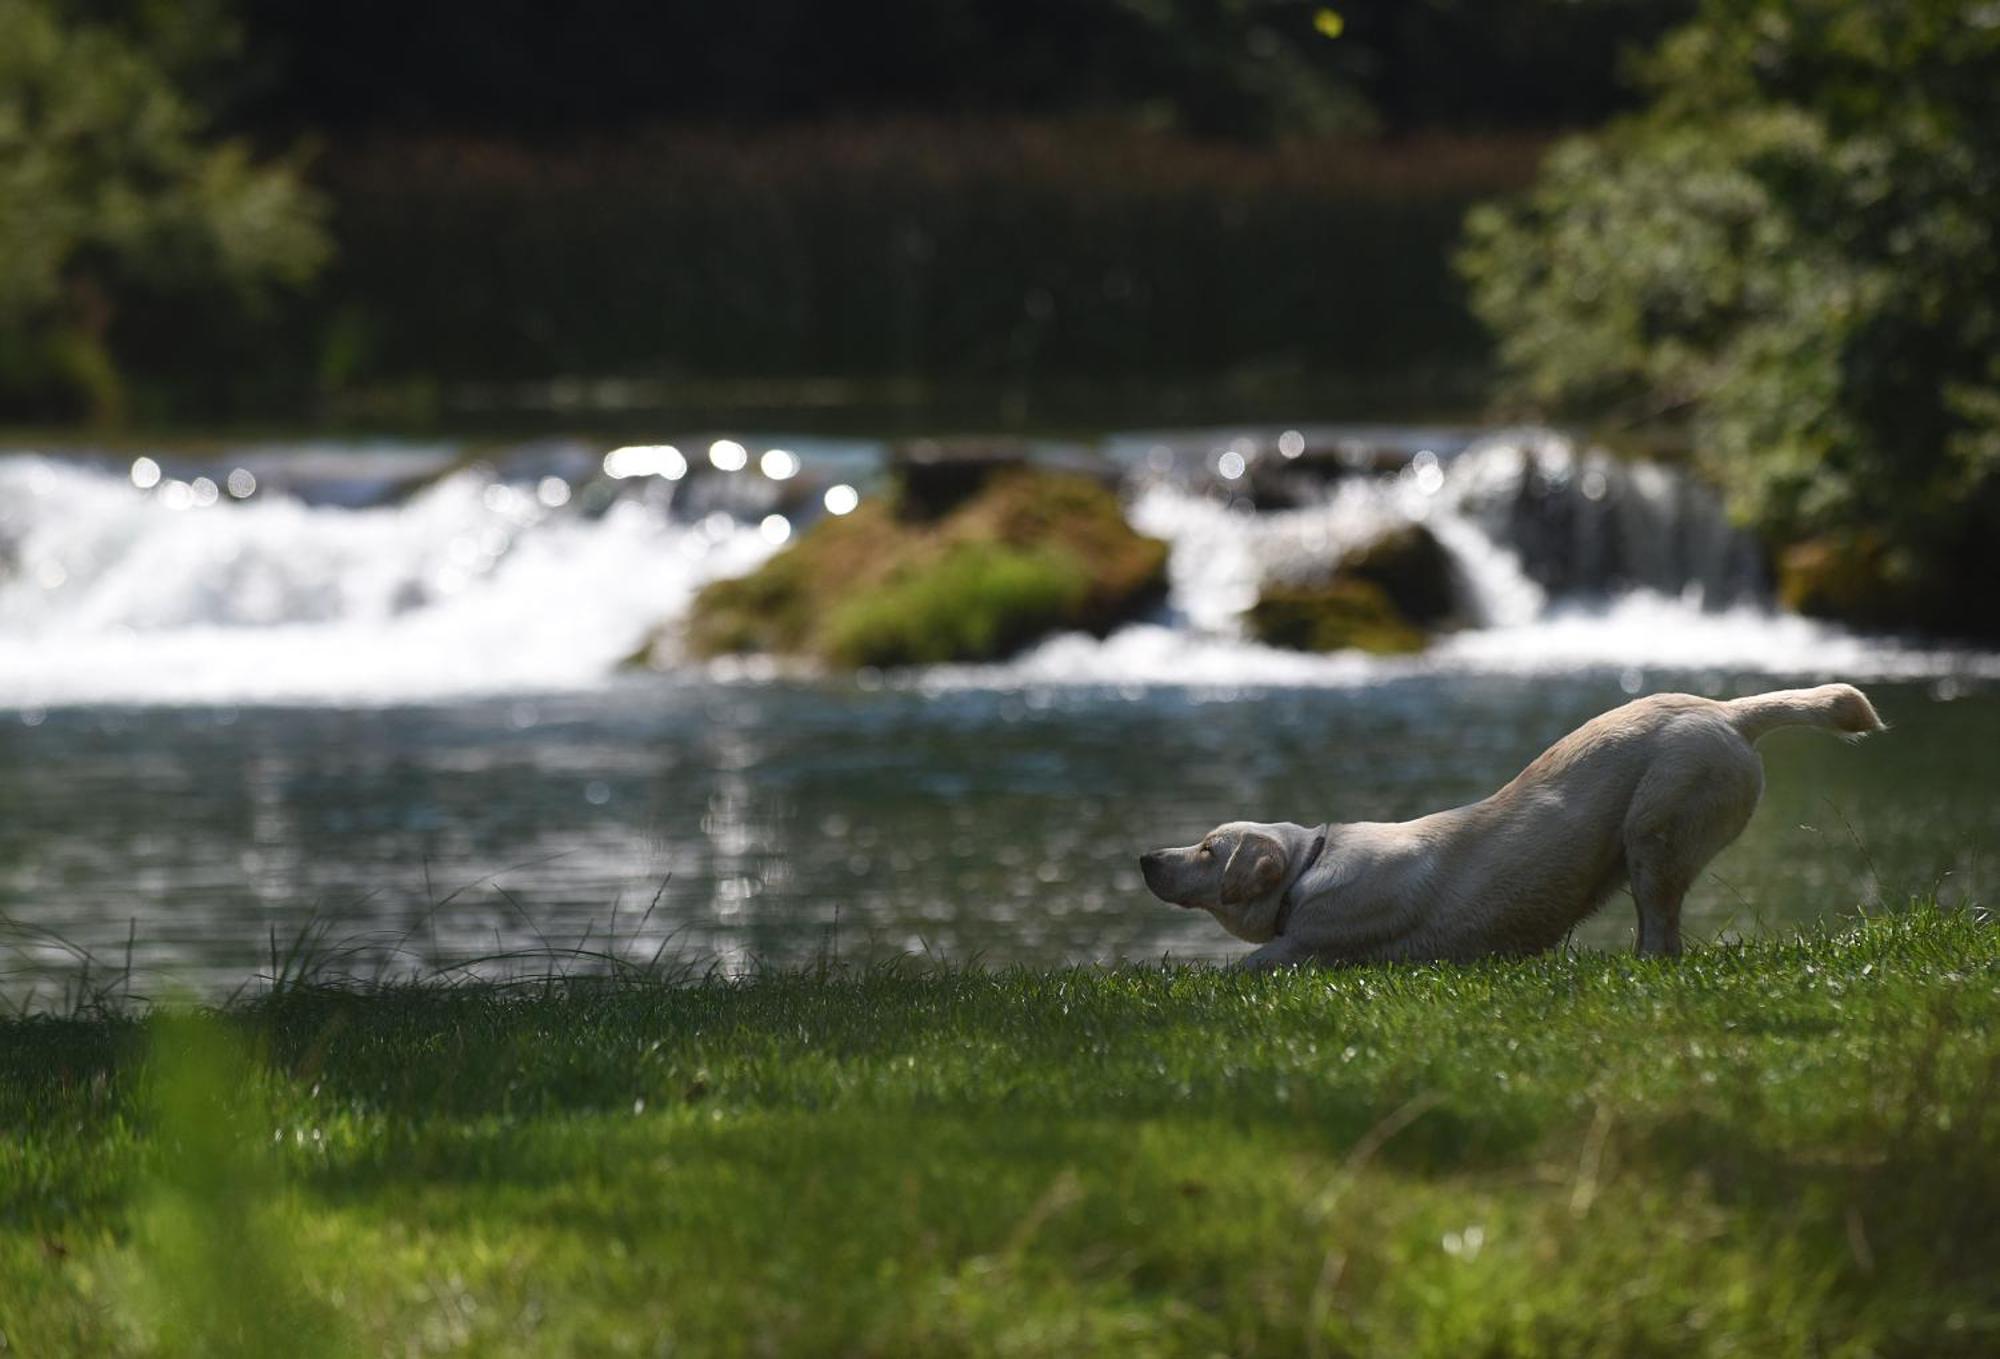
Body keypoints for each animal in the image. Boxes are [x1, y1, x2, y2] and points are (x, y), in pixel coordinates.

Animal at [1152, 691, 1880, 967]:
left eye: (1209, 849)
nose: (1144, 858)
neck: (1308, 866)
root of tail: (1727, 710)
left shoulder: (1313, 946)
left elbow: (1243, 966)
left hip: (1655, 835)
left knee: (1663, 936)